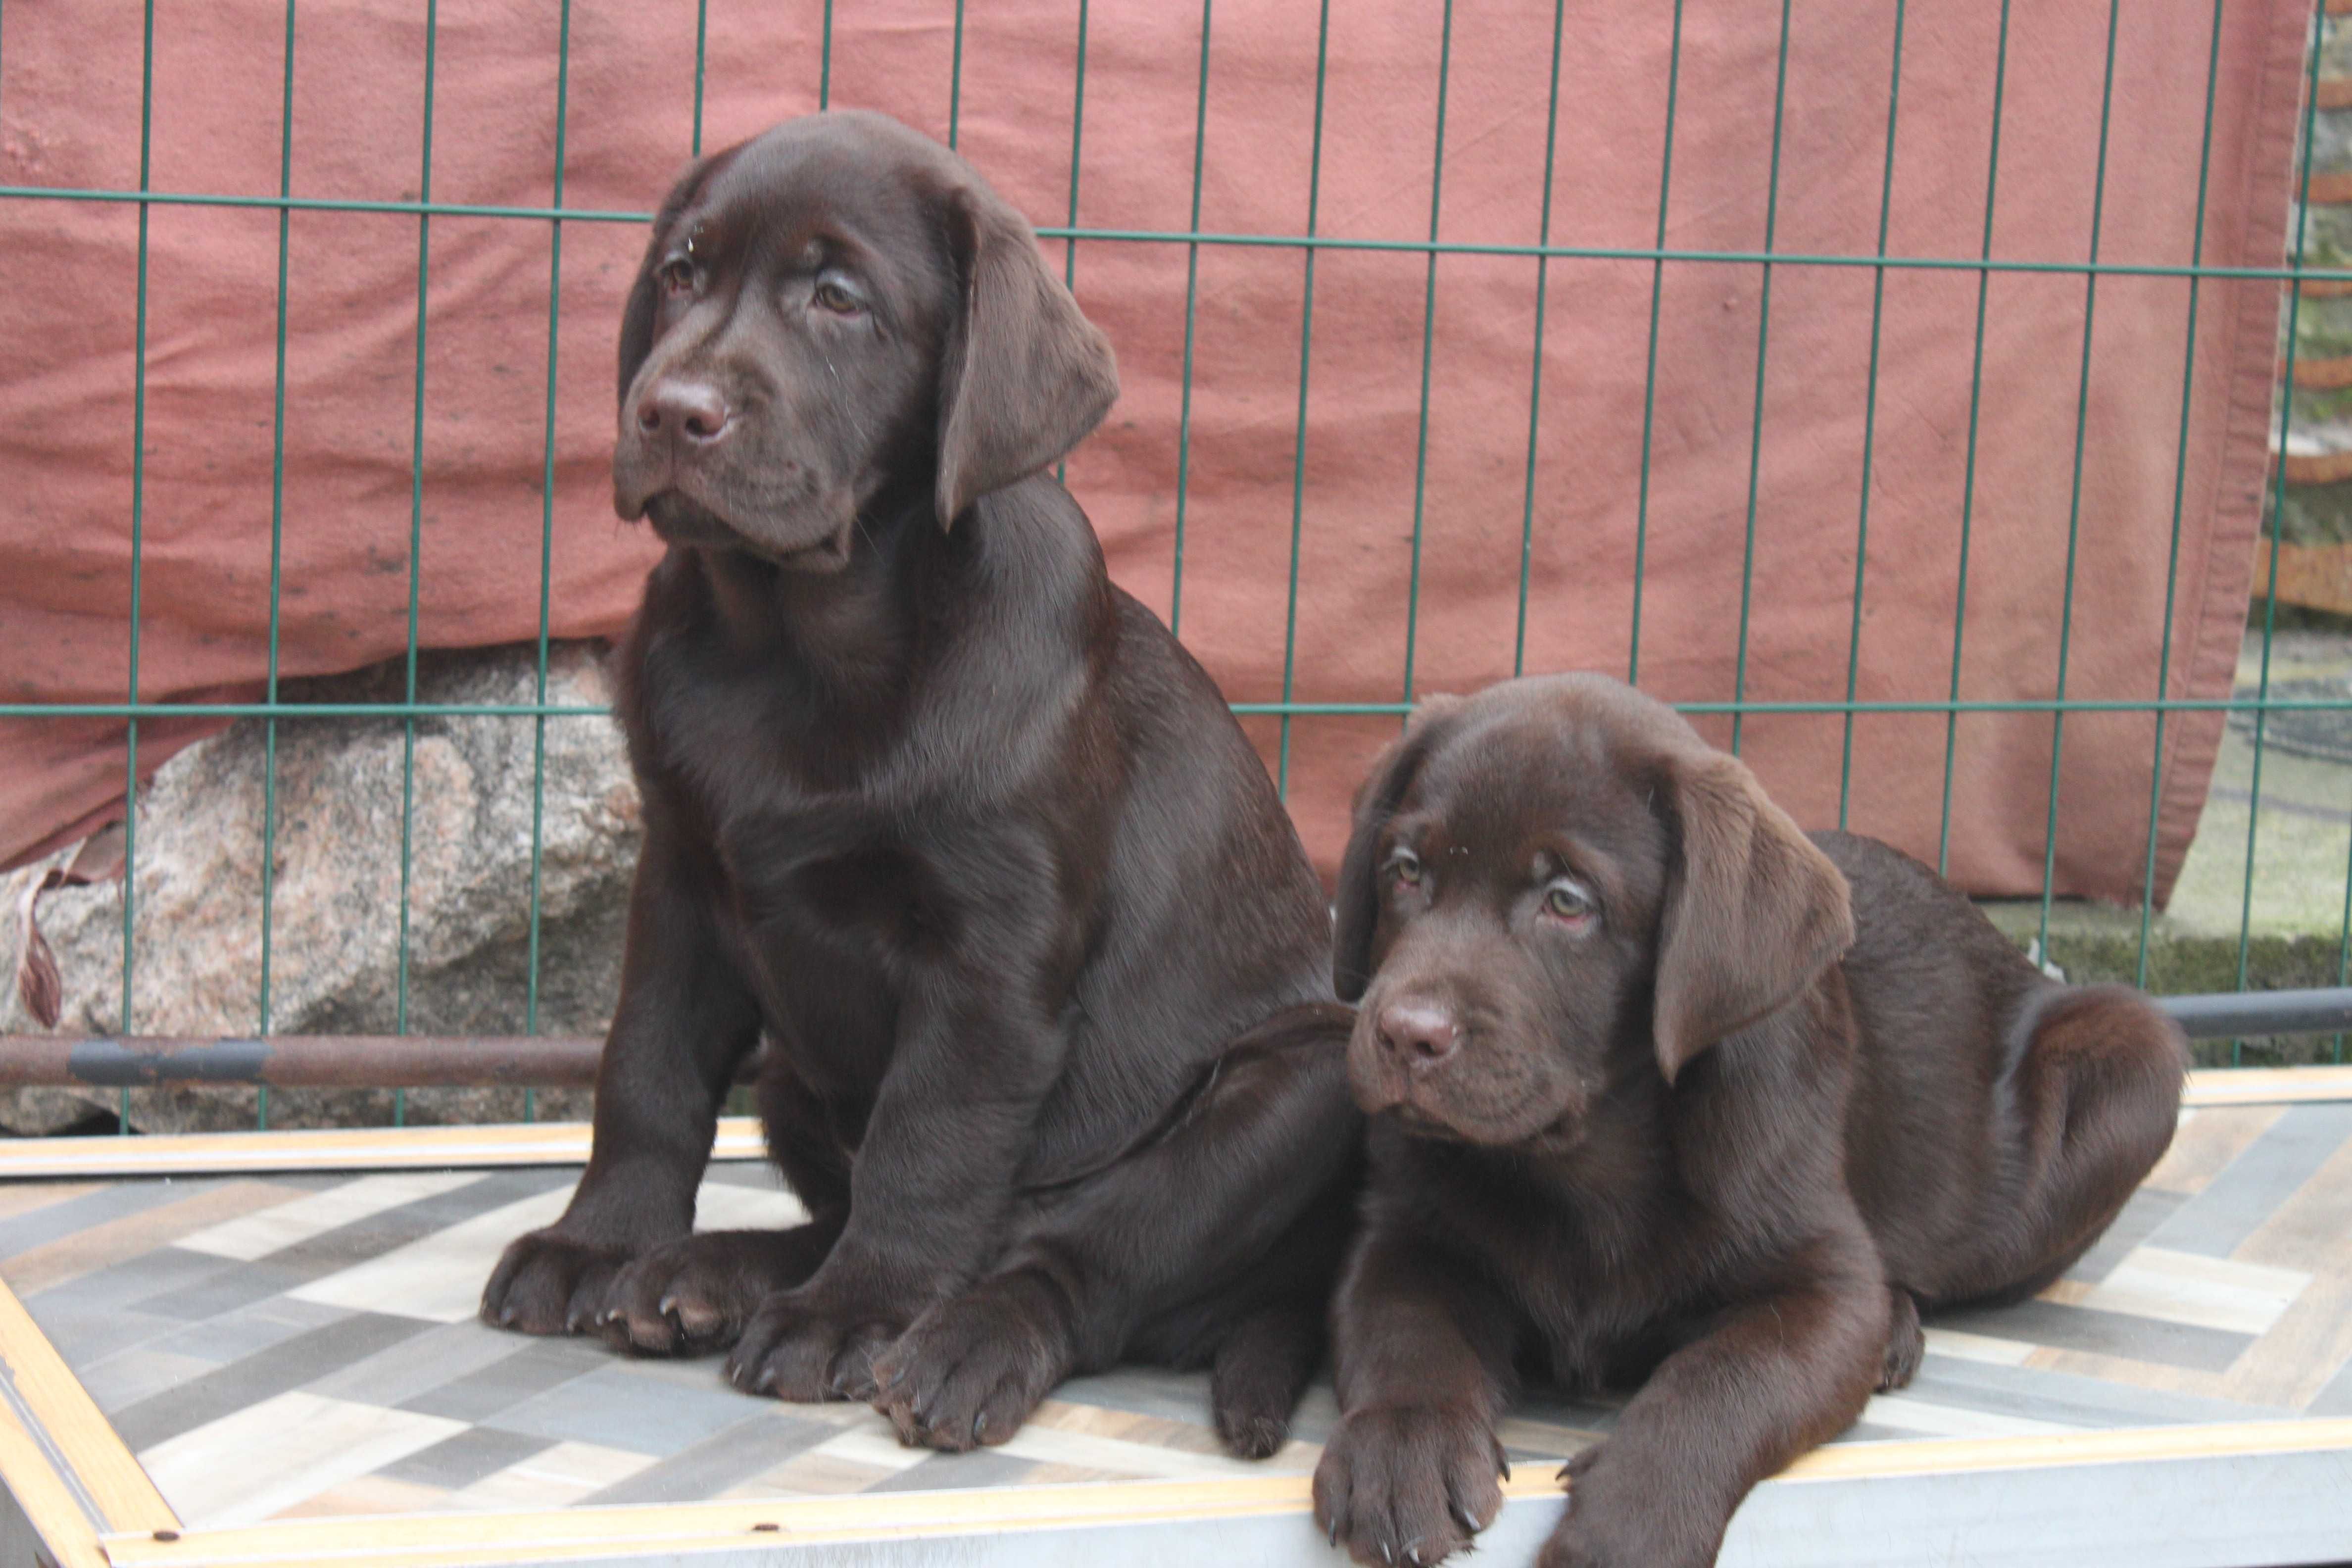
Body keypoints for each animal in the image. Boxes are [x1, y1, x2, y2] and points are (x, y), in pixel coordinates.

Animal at [1326, 677, 2182, 1568]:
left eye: (1567, 903)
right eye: (1405, 871)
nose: (1405, 1034)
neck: (1584, 1163)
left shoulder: (1824, 1286)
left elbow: (1724, 1379)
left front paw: (1632, 1521)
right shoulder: (1402, 1237)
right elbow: (1402, 1333)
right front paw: (1404, 1447)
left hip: (2134, 1063)